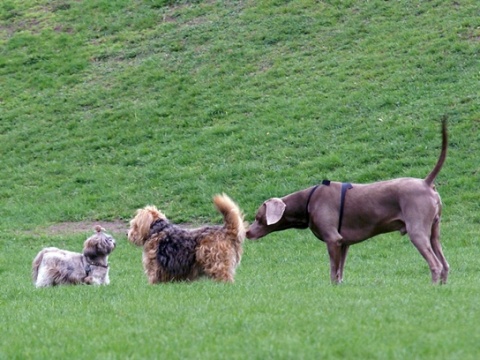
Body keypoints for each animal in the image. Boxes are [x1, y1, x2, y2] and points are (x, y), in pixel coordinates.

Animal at [249, 119, 448, 286]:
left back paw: (432, 286)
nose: (247, 232)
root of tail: (426, 182)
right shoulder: (343, 243)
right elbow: (340, 272)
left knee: (435, 264)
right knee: (445, 264)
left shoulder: (333, 239)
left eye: (258, 217)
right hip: (434, 231)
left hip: (417, 230)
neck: (307, 200)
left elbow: (332, 270)